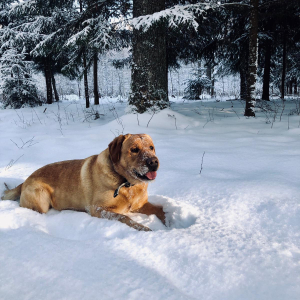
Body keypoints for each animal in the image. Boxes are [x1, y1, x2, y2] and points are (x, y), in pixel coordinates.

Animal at [1, 134, 164, 232]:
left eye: (151, 147)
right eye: (134, 149)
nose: (154, 162)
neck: (126, 183)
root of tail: (24, 182)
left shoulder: (140, 204)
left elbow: (161, 209)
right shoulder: (97, 208)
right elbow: (124, 217)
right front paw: (144, 229)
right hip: (41, 198)